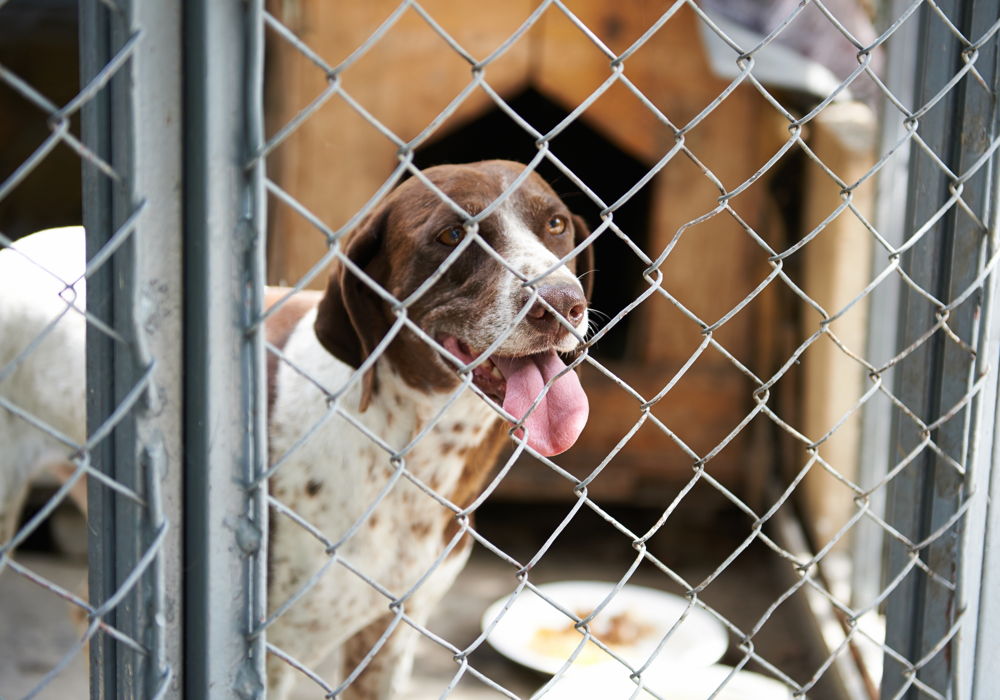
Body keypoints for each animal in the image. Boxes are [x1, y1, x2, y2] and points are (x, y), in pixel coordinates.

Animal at [0, 161, 592, 696]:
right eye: (452, 235)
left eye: (556, 224)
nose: (561, 303)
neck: (403, 450)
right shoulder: (273, 655)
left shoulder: (392, 634)